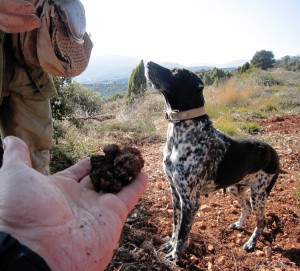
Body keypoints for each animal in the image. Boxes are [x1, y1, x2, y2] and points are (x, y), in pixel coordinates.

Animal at [145, 61, 278, 262]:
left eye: (175, 71)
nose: (148, 63)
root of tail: (274, 153)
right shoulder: (175, 193)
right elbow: (176, 225)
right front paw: (170, 244)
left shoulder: (191, 201)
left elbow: (183, 233)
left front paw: (175, 255)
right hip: (236, 188)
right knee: (246, 208)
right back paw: (239, 225)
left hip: (259, 195)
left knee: (261, 222)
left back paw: (251, 243)